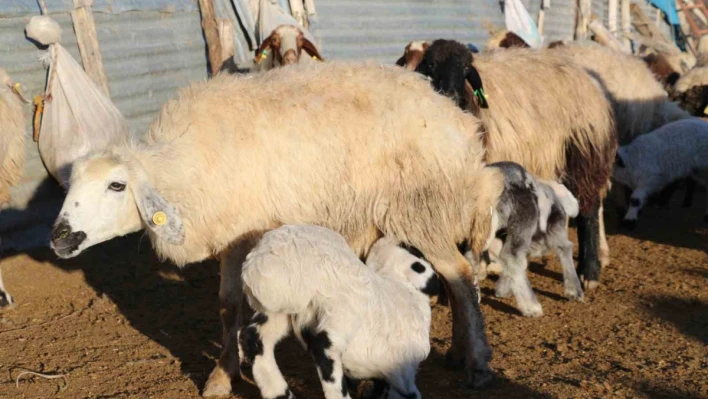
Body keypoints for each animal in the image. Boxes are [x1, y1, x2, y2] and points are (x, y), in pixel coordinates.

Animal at [238, 227, 436, 399]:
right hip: (342, 312)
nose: (393, 236)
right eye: (416, 250)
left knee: (253, 337)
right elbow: (406, 392)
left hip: (279, 309)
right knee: (324, 350)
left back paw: (279, 393)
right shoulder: (402, 372)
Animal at [412, 39, 616, 290]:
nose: (450, 96)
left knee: (589, 211)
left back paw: (589, 272)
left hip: (583, 152)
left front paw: (479, 265)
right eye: (430, 65)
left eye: (466, 69)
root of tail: (586, 76)